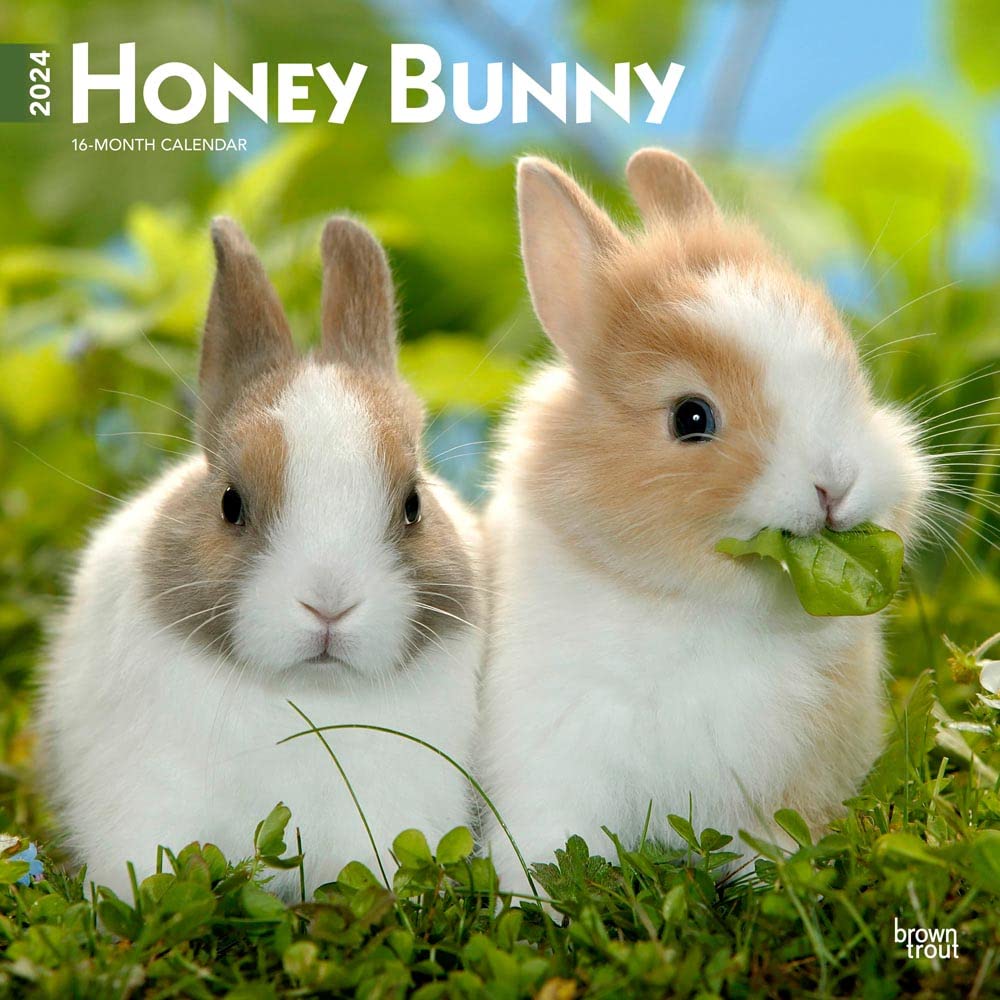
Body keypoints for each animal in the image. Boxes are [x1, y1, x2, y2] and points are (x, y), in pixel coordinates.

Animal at [477, 149, 930, 899]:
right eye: (692, 417)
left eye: (851, 377)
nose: (836, 483)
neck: (693, 604)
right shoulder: (553, 763)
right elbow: (550, 844)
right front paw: (534, 903)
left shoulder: (778, 786)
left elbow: (769, 845)